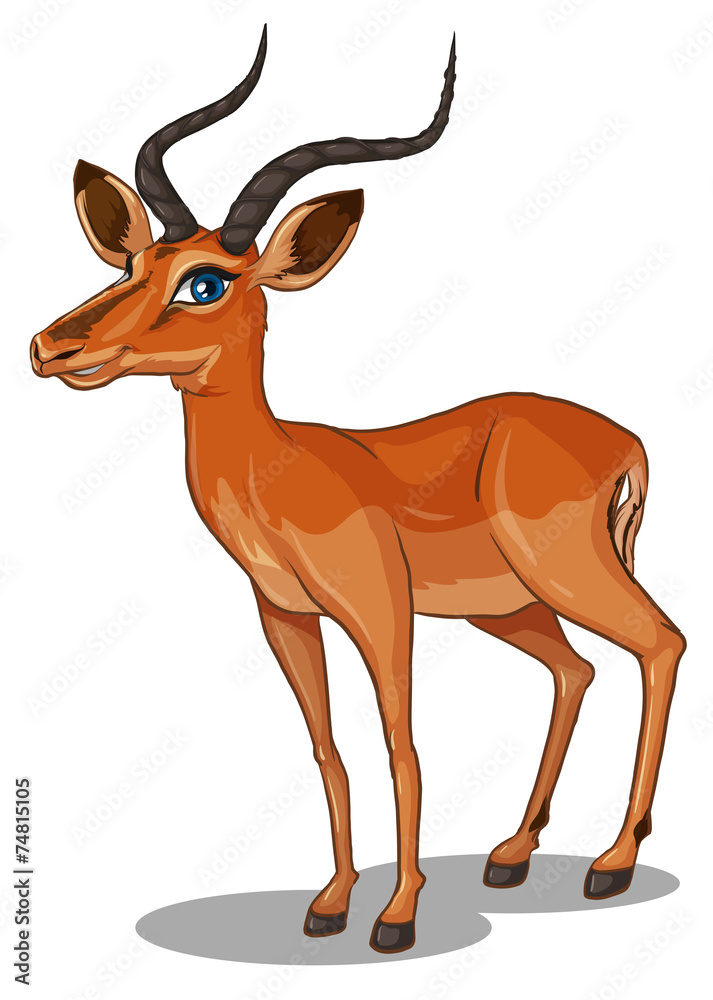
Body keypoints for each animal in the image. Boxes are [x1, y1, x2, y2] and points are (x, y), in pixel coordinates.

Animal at [31, 27, 685, 954]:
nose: (53, 346)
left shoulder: (380, 611)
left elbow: (399, 744)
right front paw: (331, 903)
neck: (280, 470)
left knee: (658, 644)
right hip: (508, 606)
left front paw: (397, 915)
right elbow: (328, 750)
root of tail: (625, 440)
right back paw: (511, 854)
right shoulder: (286, 616)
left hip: (568, 576)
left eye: (205, 281)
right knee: (576, 669)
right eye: (131, 259)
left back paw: (612, 862)